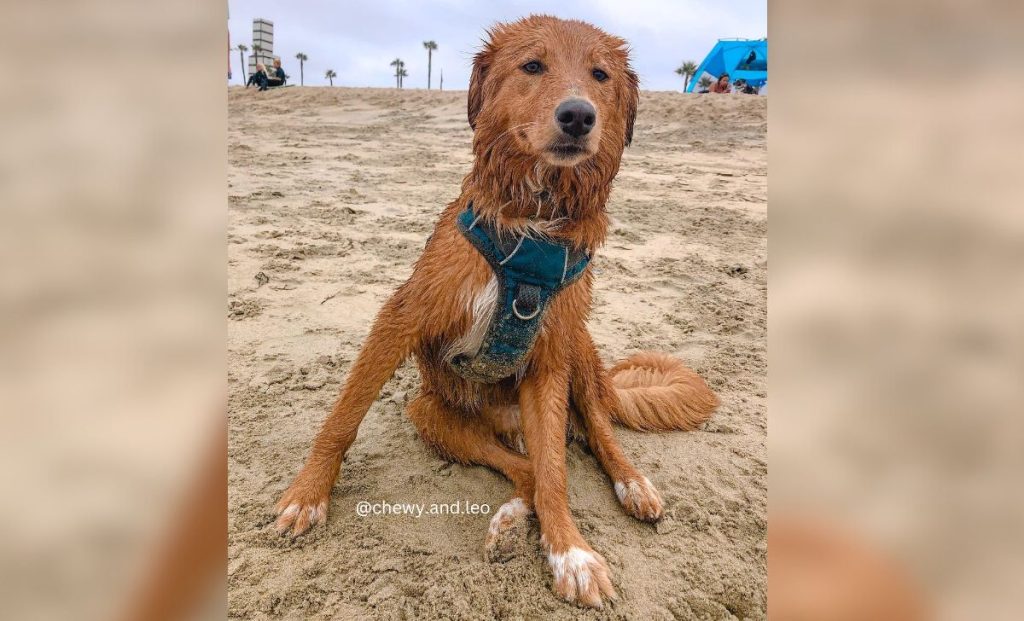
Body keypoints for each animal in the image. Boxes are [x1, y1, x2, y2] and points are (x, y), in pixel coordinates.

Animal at [276, 15, 716, 614]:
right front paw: (308, 495)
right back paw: (508, 521)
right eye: (532, 65)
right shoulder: (401, 316)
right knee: (524, 470)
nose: (578, 115)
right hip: (431, 412)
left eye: (600, 75)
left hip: (579, 349)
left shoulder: (550, 361)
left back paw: (631, 484)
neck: (534, 222)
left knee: (591, 437)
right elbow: (343, 417)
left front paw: (571, 554)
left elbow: (558, 477)